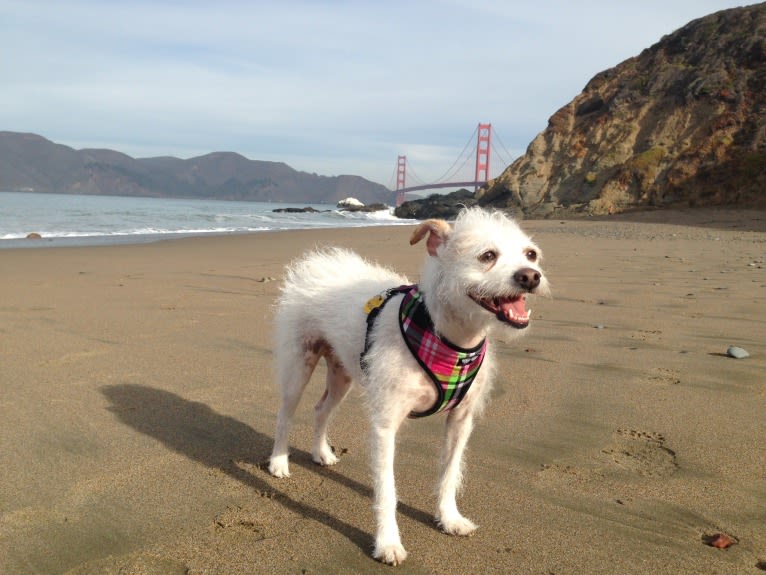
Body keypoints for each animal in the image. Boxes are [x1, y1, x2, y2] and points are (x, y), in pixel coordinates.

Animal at [268, 208, 548, 568]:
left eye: (531, 254)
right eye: (488, 256)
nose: (531, 276)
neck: (449, 339)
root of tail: (318, 262)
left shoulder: (461, 421)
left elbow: (449, 474)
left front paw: (448, 518)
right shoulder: (386, 425)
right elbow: (387, 490)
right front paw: (388, 542)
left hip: (342, 374)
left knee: (320, 410)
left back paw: (321, 453)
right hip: (298, 365)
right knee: (285, 414)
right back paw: (278, 462)